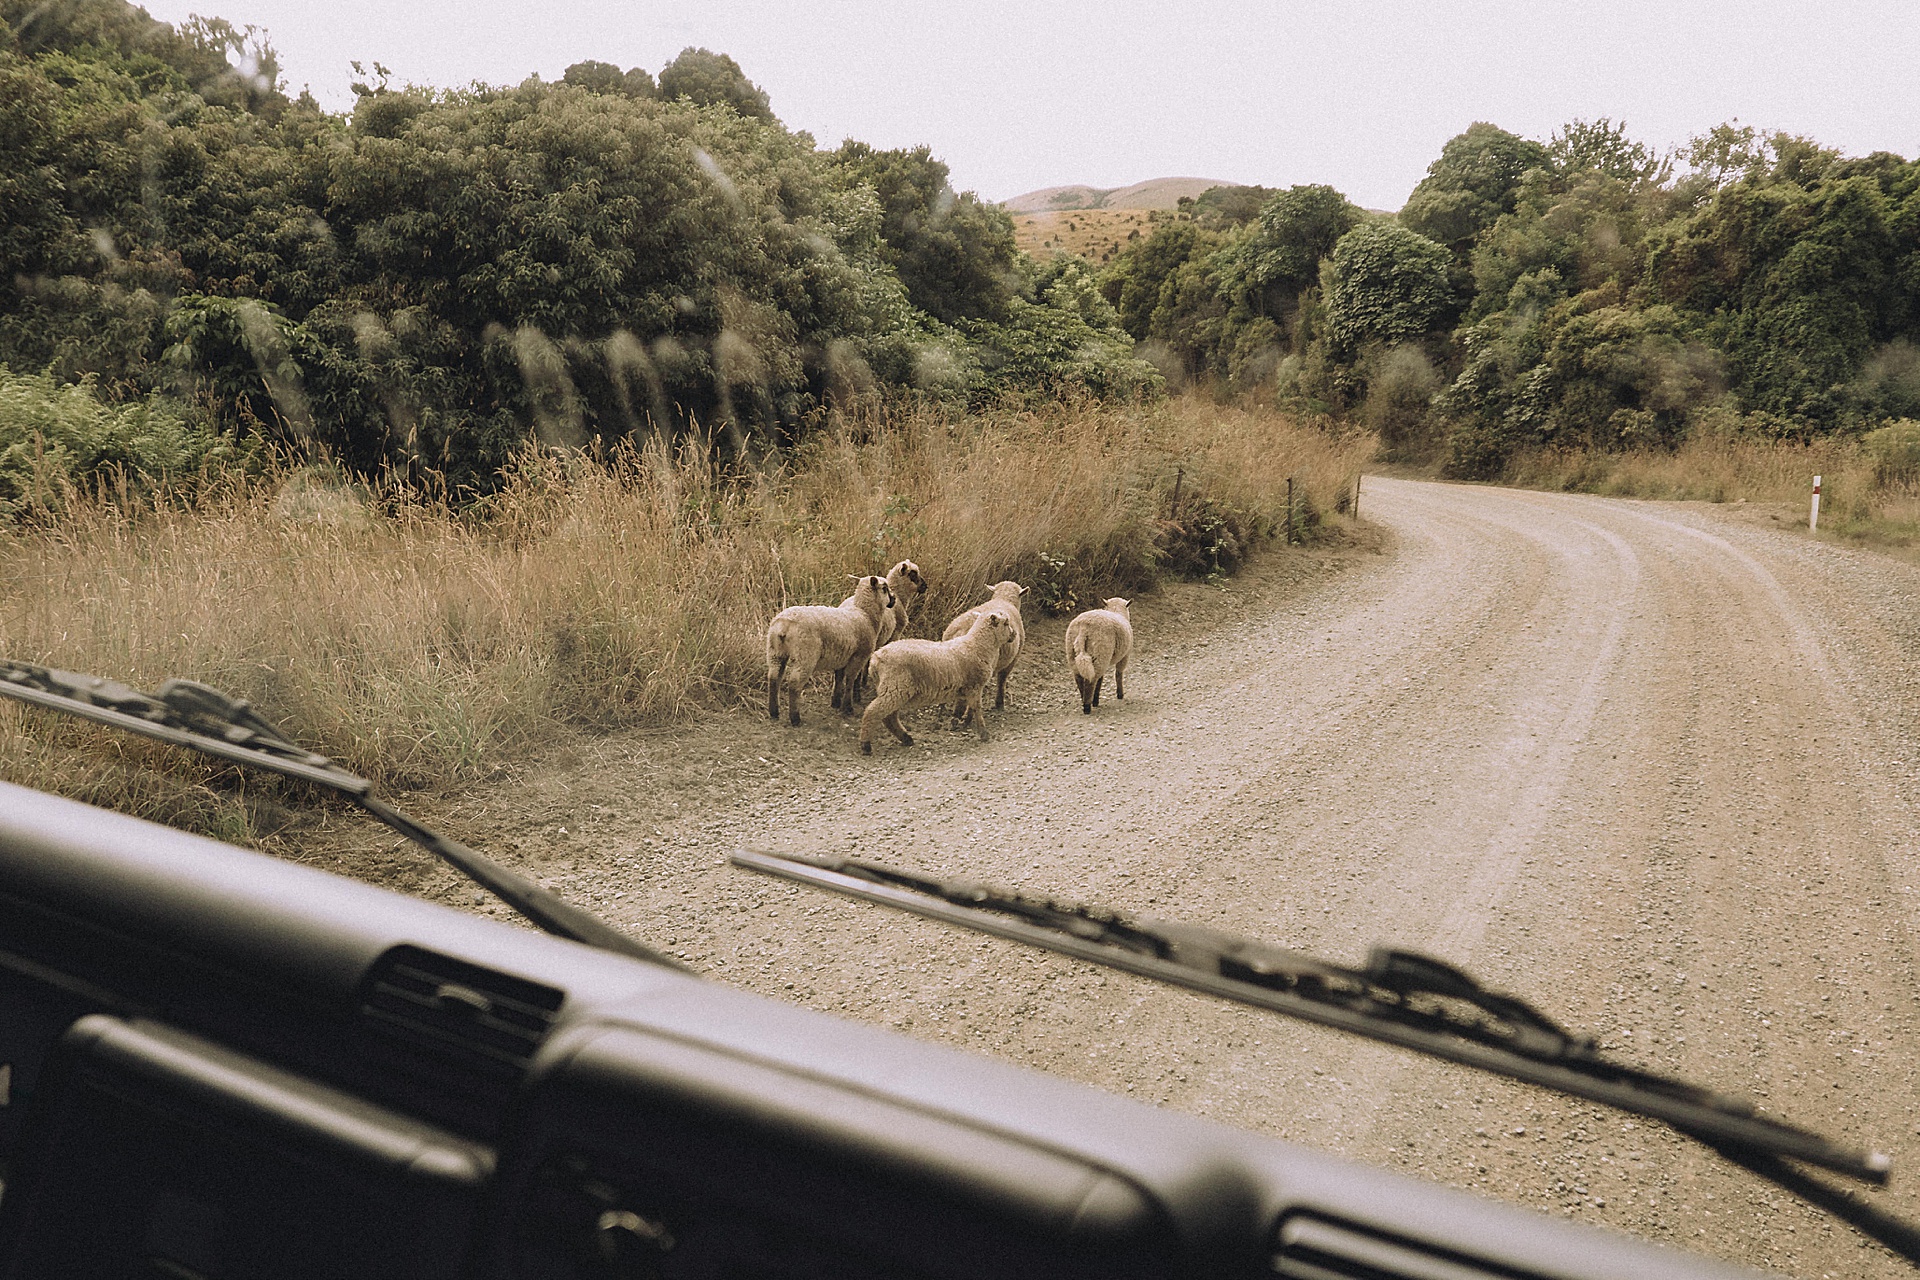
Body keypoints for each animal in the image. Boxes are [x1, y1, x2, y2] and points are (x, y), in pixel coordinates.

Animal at [764, 571, 890, 725]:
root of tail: (784, 626)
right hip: (805, 654)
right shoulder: (859, 656)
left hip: (775, 651)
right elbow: (850, 679)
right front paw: (847, 707)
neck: (865, 614)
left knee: (773, 678)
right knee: (794, 683)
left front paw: (836, 702)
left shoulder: (843, 655)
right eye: (885, 588)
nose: (894, 599)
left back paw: (774, 712)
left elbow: (839, 677)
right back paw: (795, 718)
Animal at [856, 610, 1006, 752]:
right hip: (895, 688)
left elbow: (965, 708)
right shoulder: (974, 686)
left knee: (889, 717)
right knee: (874, 711)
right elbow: (977, 709)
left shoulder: (966, 689)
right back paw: (866, 745)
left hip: (894, 688)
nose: (1012, 636)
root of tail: (875, 659)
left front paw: (960, 723)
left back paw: (906, 738)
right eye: (1006, 623)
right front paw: (984, 734)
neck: (977, 644)